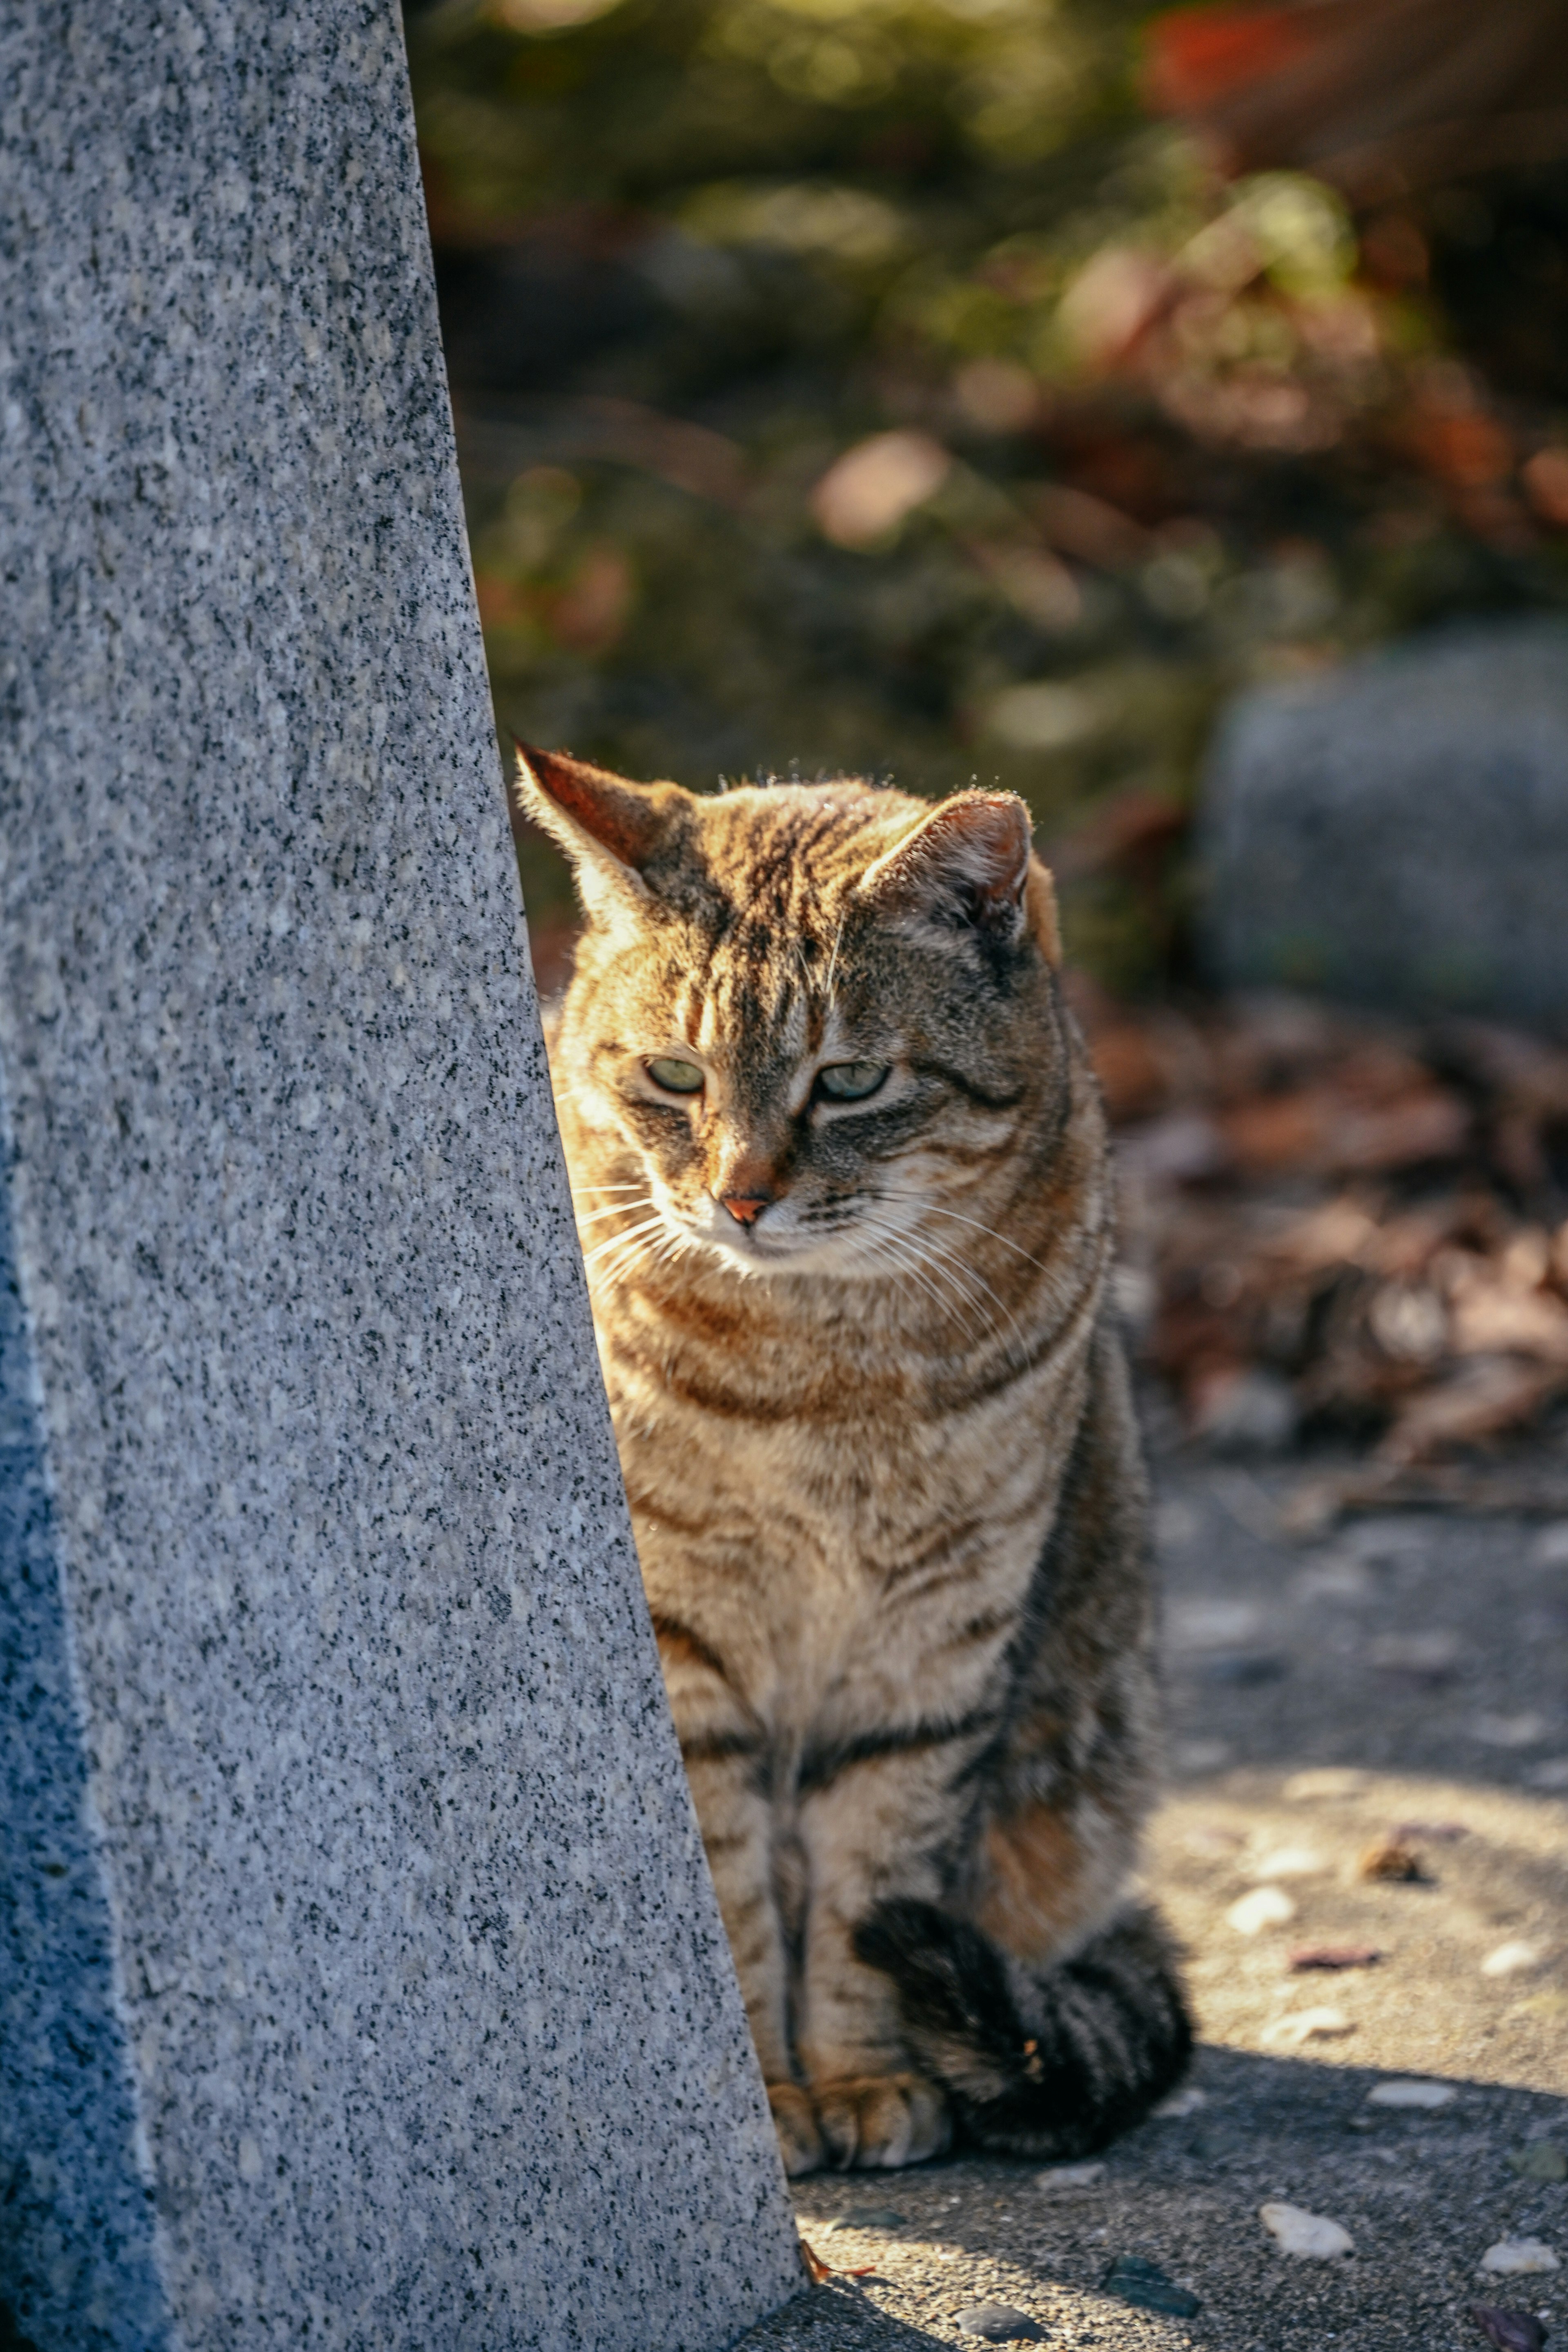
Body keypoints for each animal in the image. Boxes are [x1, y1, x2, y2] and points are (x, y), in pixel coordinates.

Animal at [514, 743, 1189, 2173]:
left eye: (849, 1083)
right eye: (674, 1078)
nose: (741, 1197)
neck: (824, 1364)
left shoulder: (934, 1652)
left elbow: (872, 1883)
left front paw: (863, 2076)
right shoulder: (686, 1654)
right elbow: (729, 1895)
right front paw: (770, 2099)